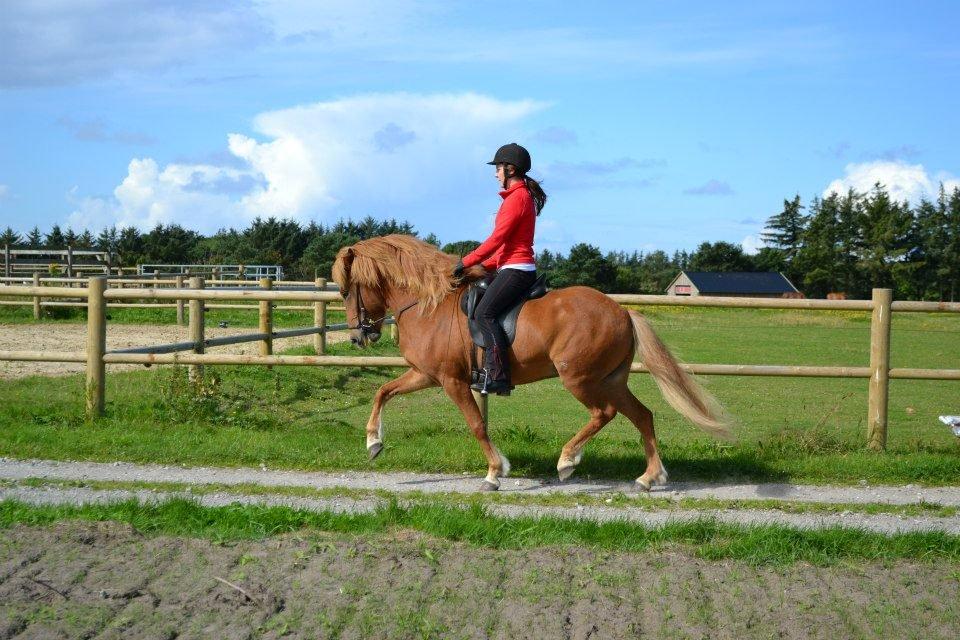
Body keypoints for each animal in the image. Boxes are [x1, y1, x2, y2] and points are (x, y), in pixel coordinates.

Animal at [334, 235, 732, 490]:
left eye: (345, 289)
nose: (357, 337)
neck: (428, 304)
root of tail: (621, 311)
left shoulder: (452, 381)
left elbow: (476, 425)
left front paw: (495, 472)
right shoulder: (427, 374)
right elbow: (384, 391)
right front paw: (373, 443)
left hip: (581, 379)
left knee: (604, 413)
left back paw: (567, 461)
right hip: (611, 379)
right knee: (642, 416)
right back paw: (649, 477)